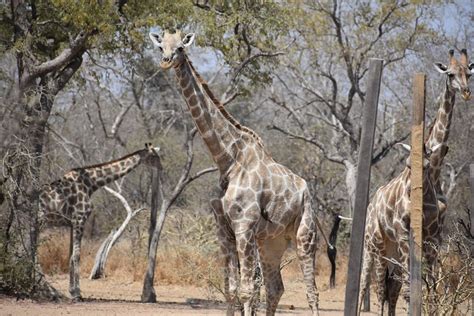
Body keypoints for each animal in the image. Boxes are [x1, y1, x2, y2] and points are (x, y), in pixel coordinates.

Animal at [38, 144, 160, 302]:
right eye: (155, 156)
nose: (161, 168)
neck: (91, 184)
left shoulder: (72, 223)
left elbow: (71, 255)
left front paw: (72, 291)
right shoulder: (79, 219)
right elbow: (77, 255)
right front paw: (77, 293)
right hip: (40, 221)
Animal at [150, 30, 332, 316]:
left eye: (180, 47)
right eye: (161, 46)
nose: (166, 61)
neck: (227, 159)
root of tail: (305, 188)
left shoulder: (244, 225)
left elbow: (247, 290)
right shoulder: (223, 229)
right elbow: (231, 289)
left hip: (305, 234)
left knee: (311, 291)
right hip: (272, 242)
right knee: (276, 288)